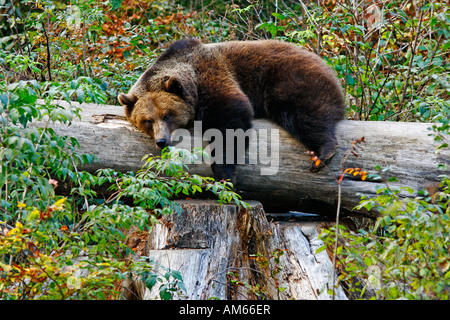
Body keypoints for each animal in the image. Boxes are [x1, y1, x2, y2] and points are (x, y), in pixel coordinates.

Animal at [118, 38, 344, 182]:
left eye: (167, 115)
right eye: (147, 121)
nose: (161, 141)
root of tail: (325, 64)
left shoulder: (211, 75)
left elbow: (229, 122)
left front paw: (224, 175)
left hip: (290, 78)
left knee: (303, 114)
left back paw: (323, 153)